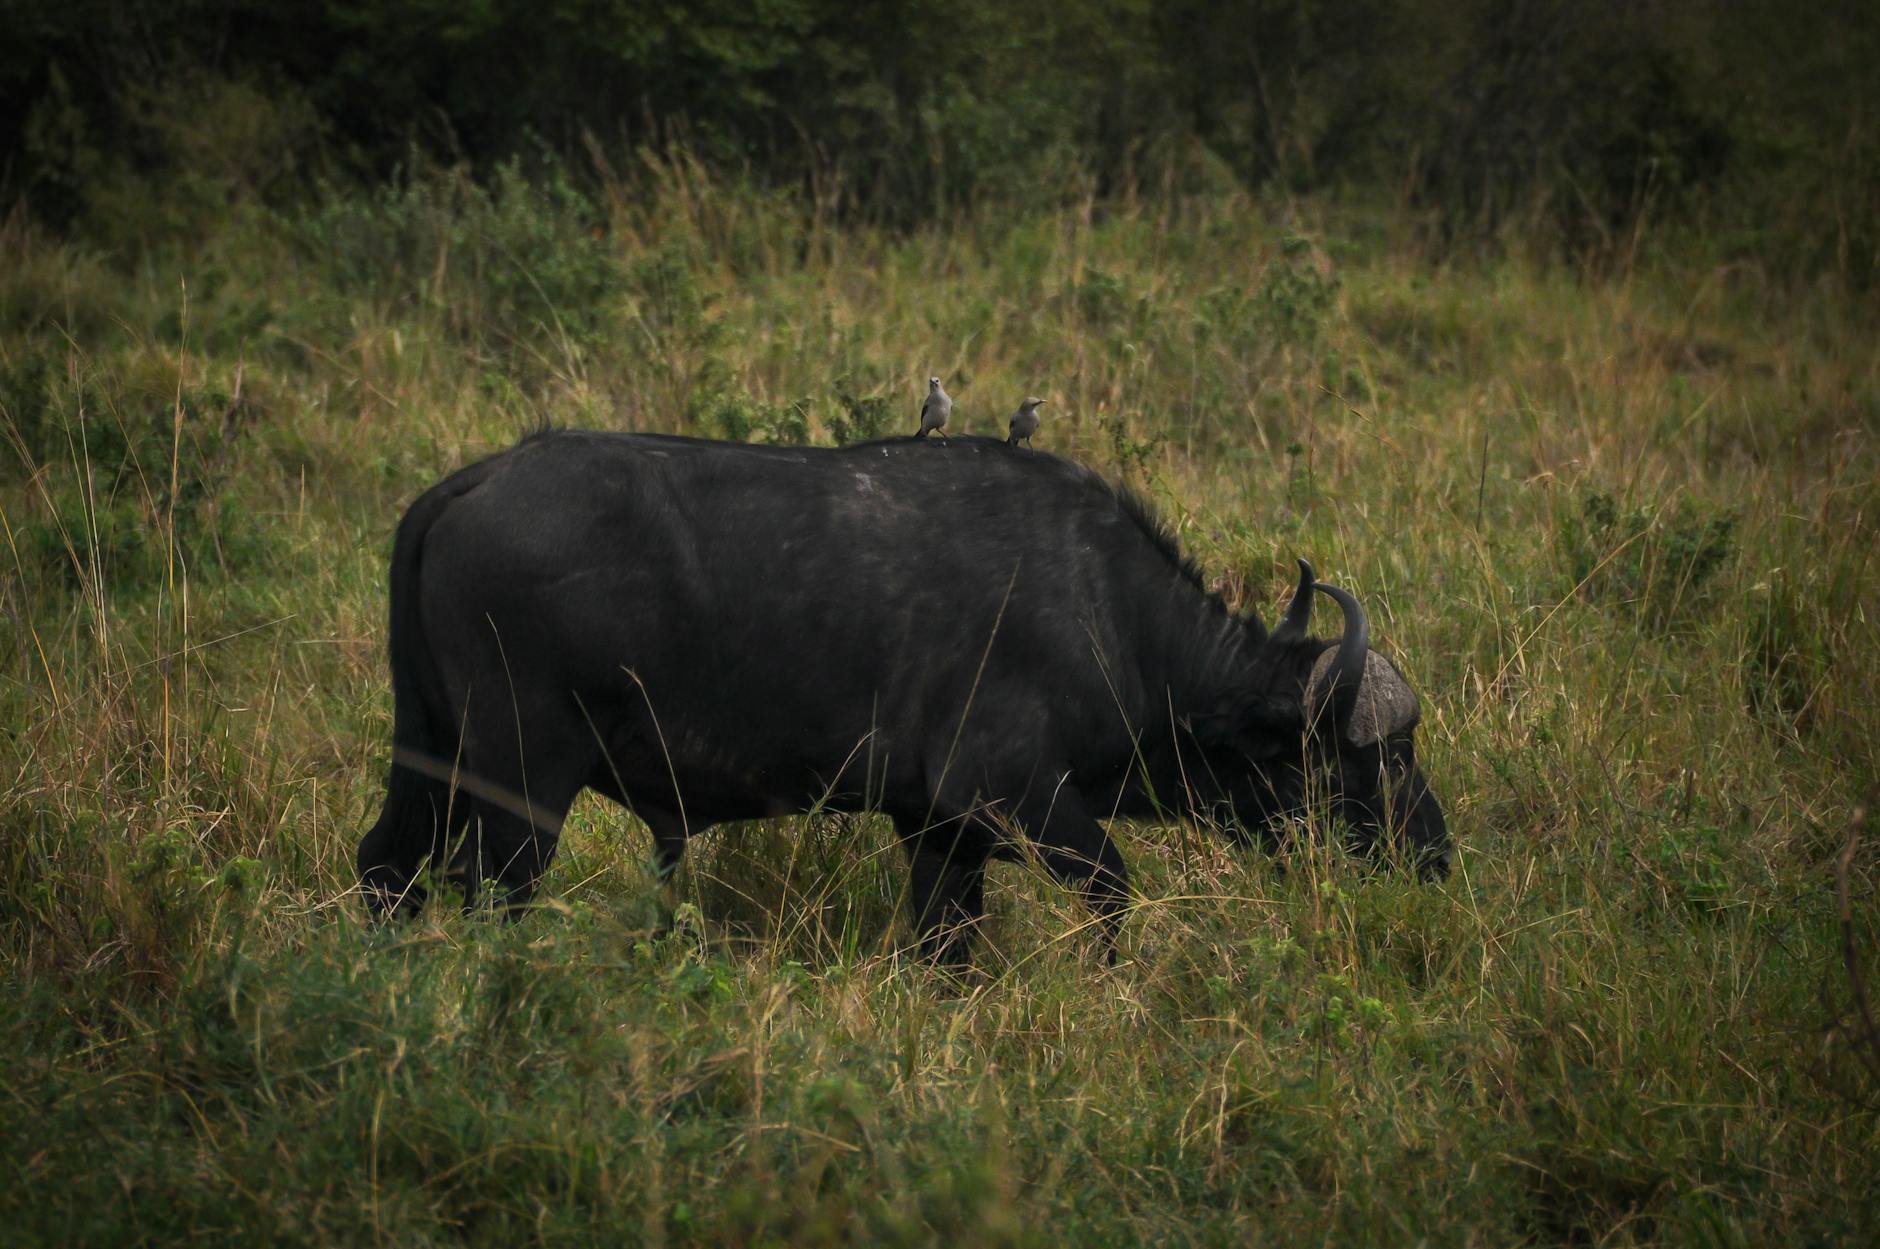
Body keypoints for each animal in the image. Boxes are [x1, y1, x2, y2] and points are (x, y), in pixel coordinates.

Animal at [357, 431, 1449, 961]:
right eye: (1377, 757)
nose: (1435, 853)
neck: (1106, 613)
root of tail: (471, 483)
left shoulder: (937, 832)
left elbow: (943, 946)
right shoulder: (1015, 798)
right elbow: (1111, 893)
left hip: (431, 759)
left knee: (387, 868)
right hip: (520, 784)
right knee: (491, 892)